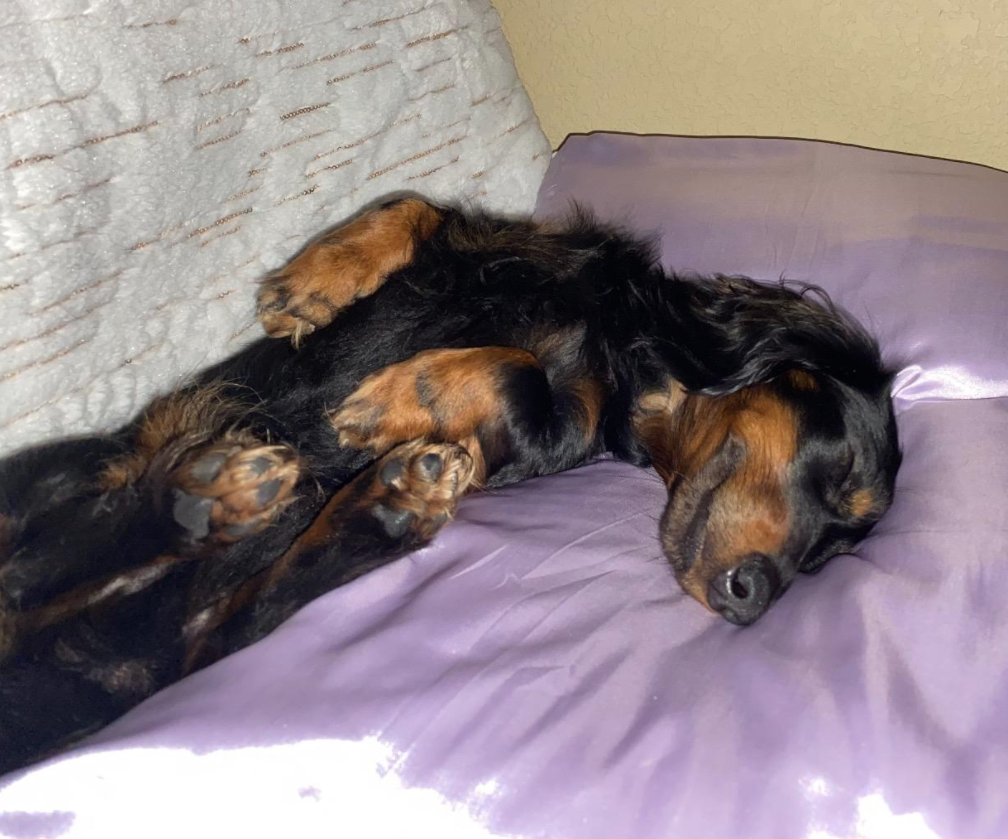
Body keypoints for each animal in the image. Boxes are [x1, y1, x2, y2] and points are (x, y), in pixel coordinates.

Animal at [0, 196, 899, 774]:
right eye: (842, 476)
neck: (613, 344)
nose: (756, 595)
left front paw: (413, 393)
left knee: (195, 600)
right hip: (91, 466)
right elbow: (418, 209)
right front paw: (312, 281)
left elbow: (517, 376)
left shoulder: (553, 432)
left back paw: (325, 500)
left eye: (828, 556)